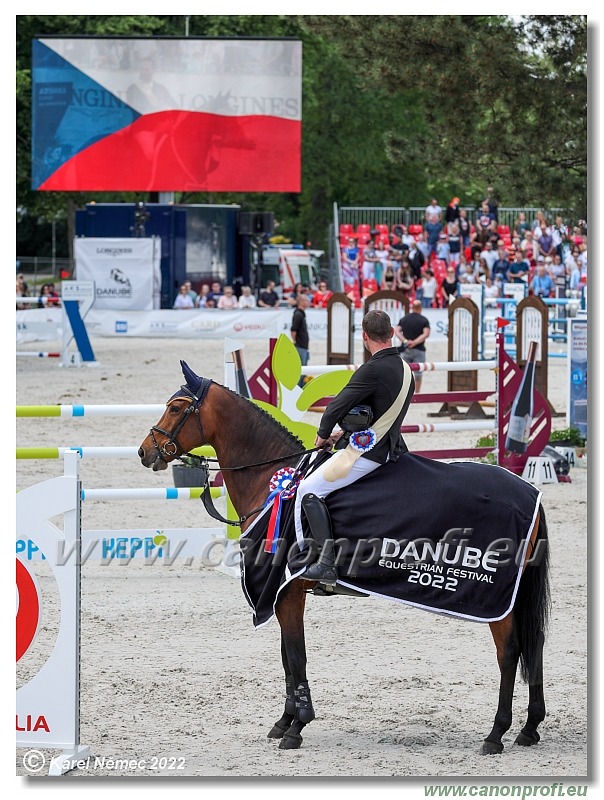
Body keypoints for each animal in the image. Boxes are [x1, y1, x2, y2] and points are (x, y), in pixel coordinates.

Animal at [138, 364, 552, 756]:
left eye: (176, 408)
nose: (145, 451)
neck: (275, 482)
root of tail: (529, 493)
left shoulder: (288, 592)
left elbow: (296, 657)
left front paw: (297, 726)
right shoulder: (285, 593)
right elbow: (287, 658)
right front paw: (284, 721)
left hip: (495, 600)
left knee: (509, 653)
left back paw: (496, 733)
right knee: (534, 645)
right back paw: (529, 728)